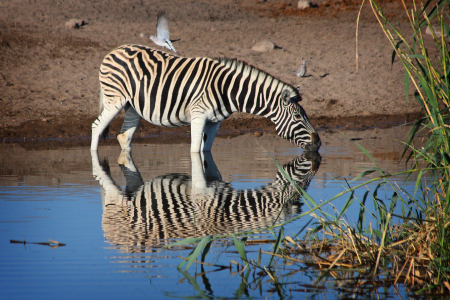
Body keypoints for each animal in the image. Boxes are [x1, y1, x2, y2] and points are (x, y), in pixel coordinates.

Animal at [90, 45, 320, 152]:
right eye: (298, 118)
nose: (318, 143)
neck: (227, 89)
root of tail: (114, 50)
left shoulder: (214, 123)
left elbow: (205, 150)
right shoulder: (198, 116)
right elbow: (194, 150)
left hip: (133, 106)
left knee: (124, 137)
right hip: (114, 100)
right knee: (96, 127)